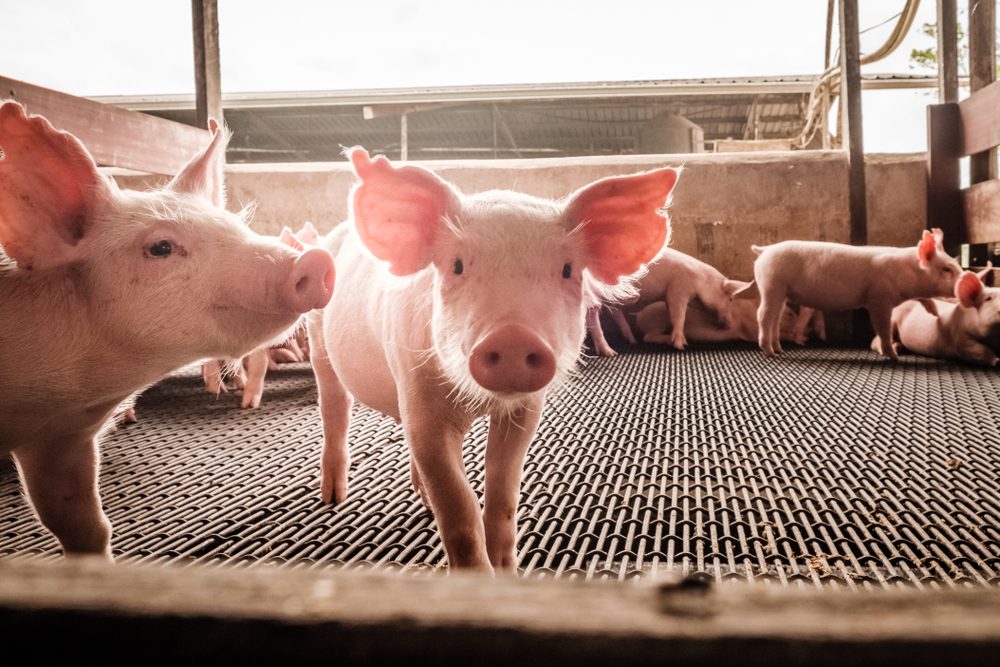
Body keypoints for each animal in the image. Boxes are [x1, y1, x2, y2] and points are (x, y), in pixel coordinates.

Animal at [309, 148, 678, 571]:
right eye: (456, 265)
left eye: (568, 270)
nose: (513, 337)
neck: (479, 403)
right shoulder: (419, 397)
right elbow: (458, 507)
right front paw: (477, 576)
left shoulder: (525, 410)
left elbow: (503, 493)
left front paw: (507, 570)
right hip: (318, 338)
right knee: (334, 407)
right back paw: (333, 497)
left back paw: (420, 500)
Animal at [753, 229, 962, 359]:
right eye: (947, 269)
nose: (966, 280)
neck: (908, 272)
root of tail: (765, 249)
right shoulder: (879, 297)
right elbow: (883, 328)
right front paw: (894, 357)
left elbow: (924, 298)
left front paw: (935, 313)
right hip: (772, 284)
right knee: (763, 315)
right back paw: (770, 353)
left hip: (781, 291)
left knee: (776, 318)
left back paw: (779, 350)